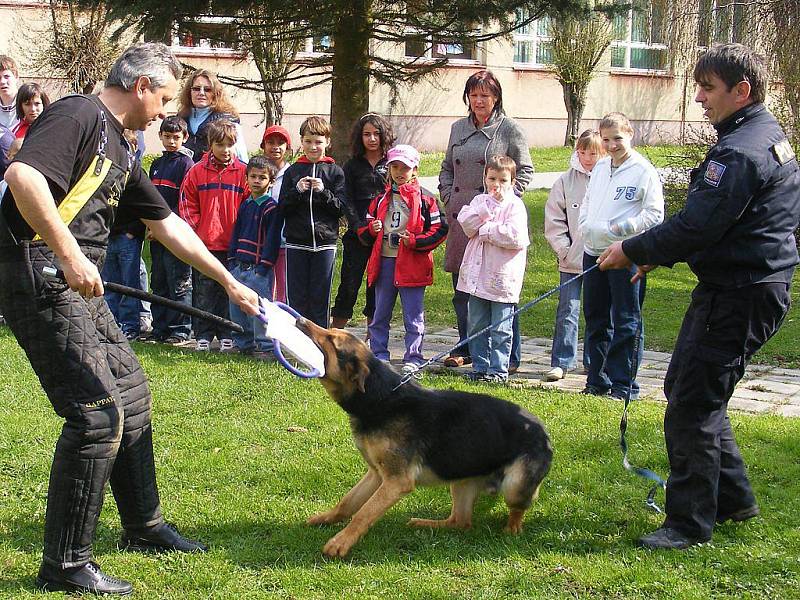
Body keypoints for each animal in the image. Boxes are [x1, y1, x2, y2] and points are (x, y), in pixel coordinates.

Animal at [296, 318, 552, 556]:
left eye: (332, 341)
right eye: (330, 333)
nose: (300, 320)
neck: (380, 398)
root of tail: (544, 433)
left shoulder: (396, 482)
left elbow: (363, 513)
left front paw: (341, 541)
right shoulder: (376, 474)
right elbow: (347, 503)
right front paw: (327, 519)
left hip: (514, 487)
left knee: (515, 514)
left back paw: (510, 530)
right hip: (460, 481)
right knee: (460, 523)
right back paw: (425, 524)